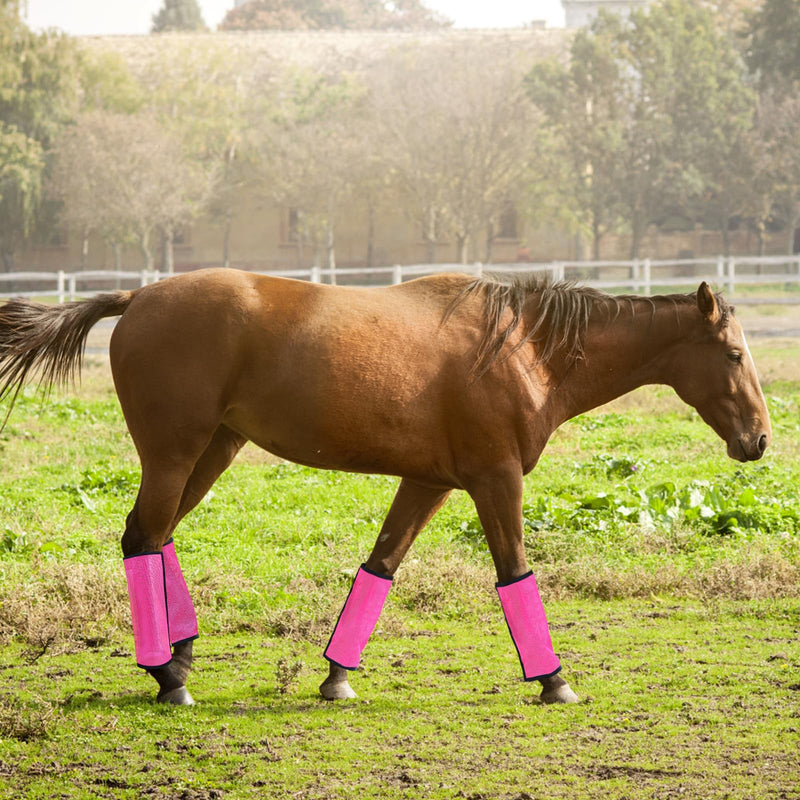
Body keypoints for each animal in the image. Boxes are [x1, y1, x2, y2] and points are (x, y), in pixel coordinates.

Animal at [0, 269, 770, 706]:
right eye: (734, 354)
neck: (525, 348)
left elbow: (381, 566)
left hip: (211, 452)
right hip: (174, 455)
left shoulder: (427, 483)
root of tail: (138, 296)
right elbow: (515, 574)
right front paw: (554, 680)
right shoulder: (495, 481)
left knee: (156, 539)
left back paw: (180, 658)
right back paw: (168, 675)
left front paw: (337, 677)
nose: (759, 440)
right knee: (142, 538)